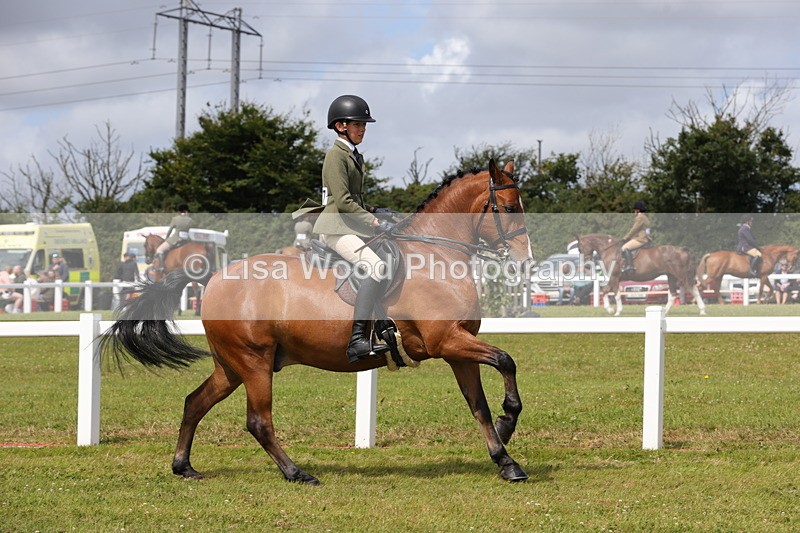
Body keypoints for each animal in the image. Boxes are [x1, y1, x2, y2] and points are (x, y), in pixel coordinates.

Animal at [103, 160, 534, 485]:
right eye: (510, 208)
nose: (525, 260)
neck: (435, 256)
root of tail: (213, 278)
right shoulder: (446, 340)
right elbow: (507, 360)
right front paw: (508, 422)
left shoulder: (458, 348)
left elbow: (479, 404)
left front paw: (505, 457)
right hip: (254, 362)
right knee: (258, 421)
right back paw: (297, 473)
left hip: (231, 366)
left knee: (195, 403)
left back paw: (184, 466)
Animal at [577, 233, 706, 316]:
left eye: (580, 248)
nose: (587, 266)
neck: (610, 250)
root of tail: (682, 249)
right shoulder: (615, 278)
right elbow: (605, 290)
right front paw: (610, 310)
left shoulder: (615, 276)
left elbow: (616, 294)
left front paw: (617, 311)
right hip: (671, 276)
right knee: (673, 294)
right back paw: (665, 311)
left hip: (681, 275)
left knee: (693, 290)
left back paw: (702, 310)